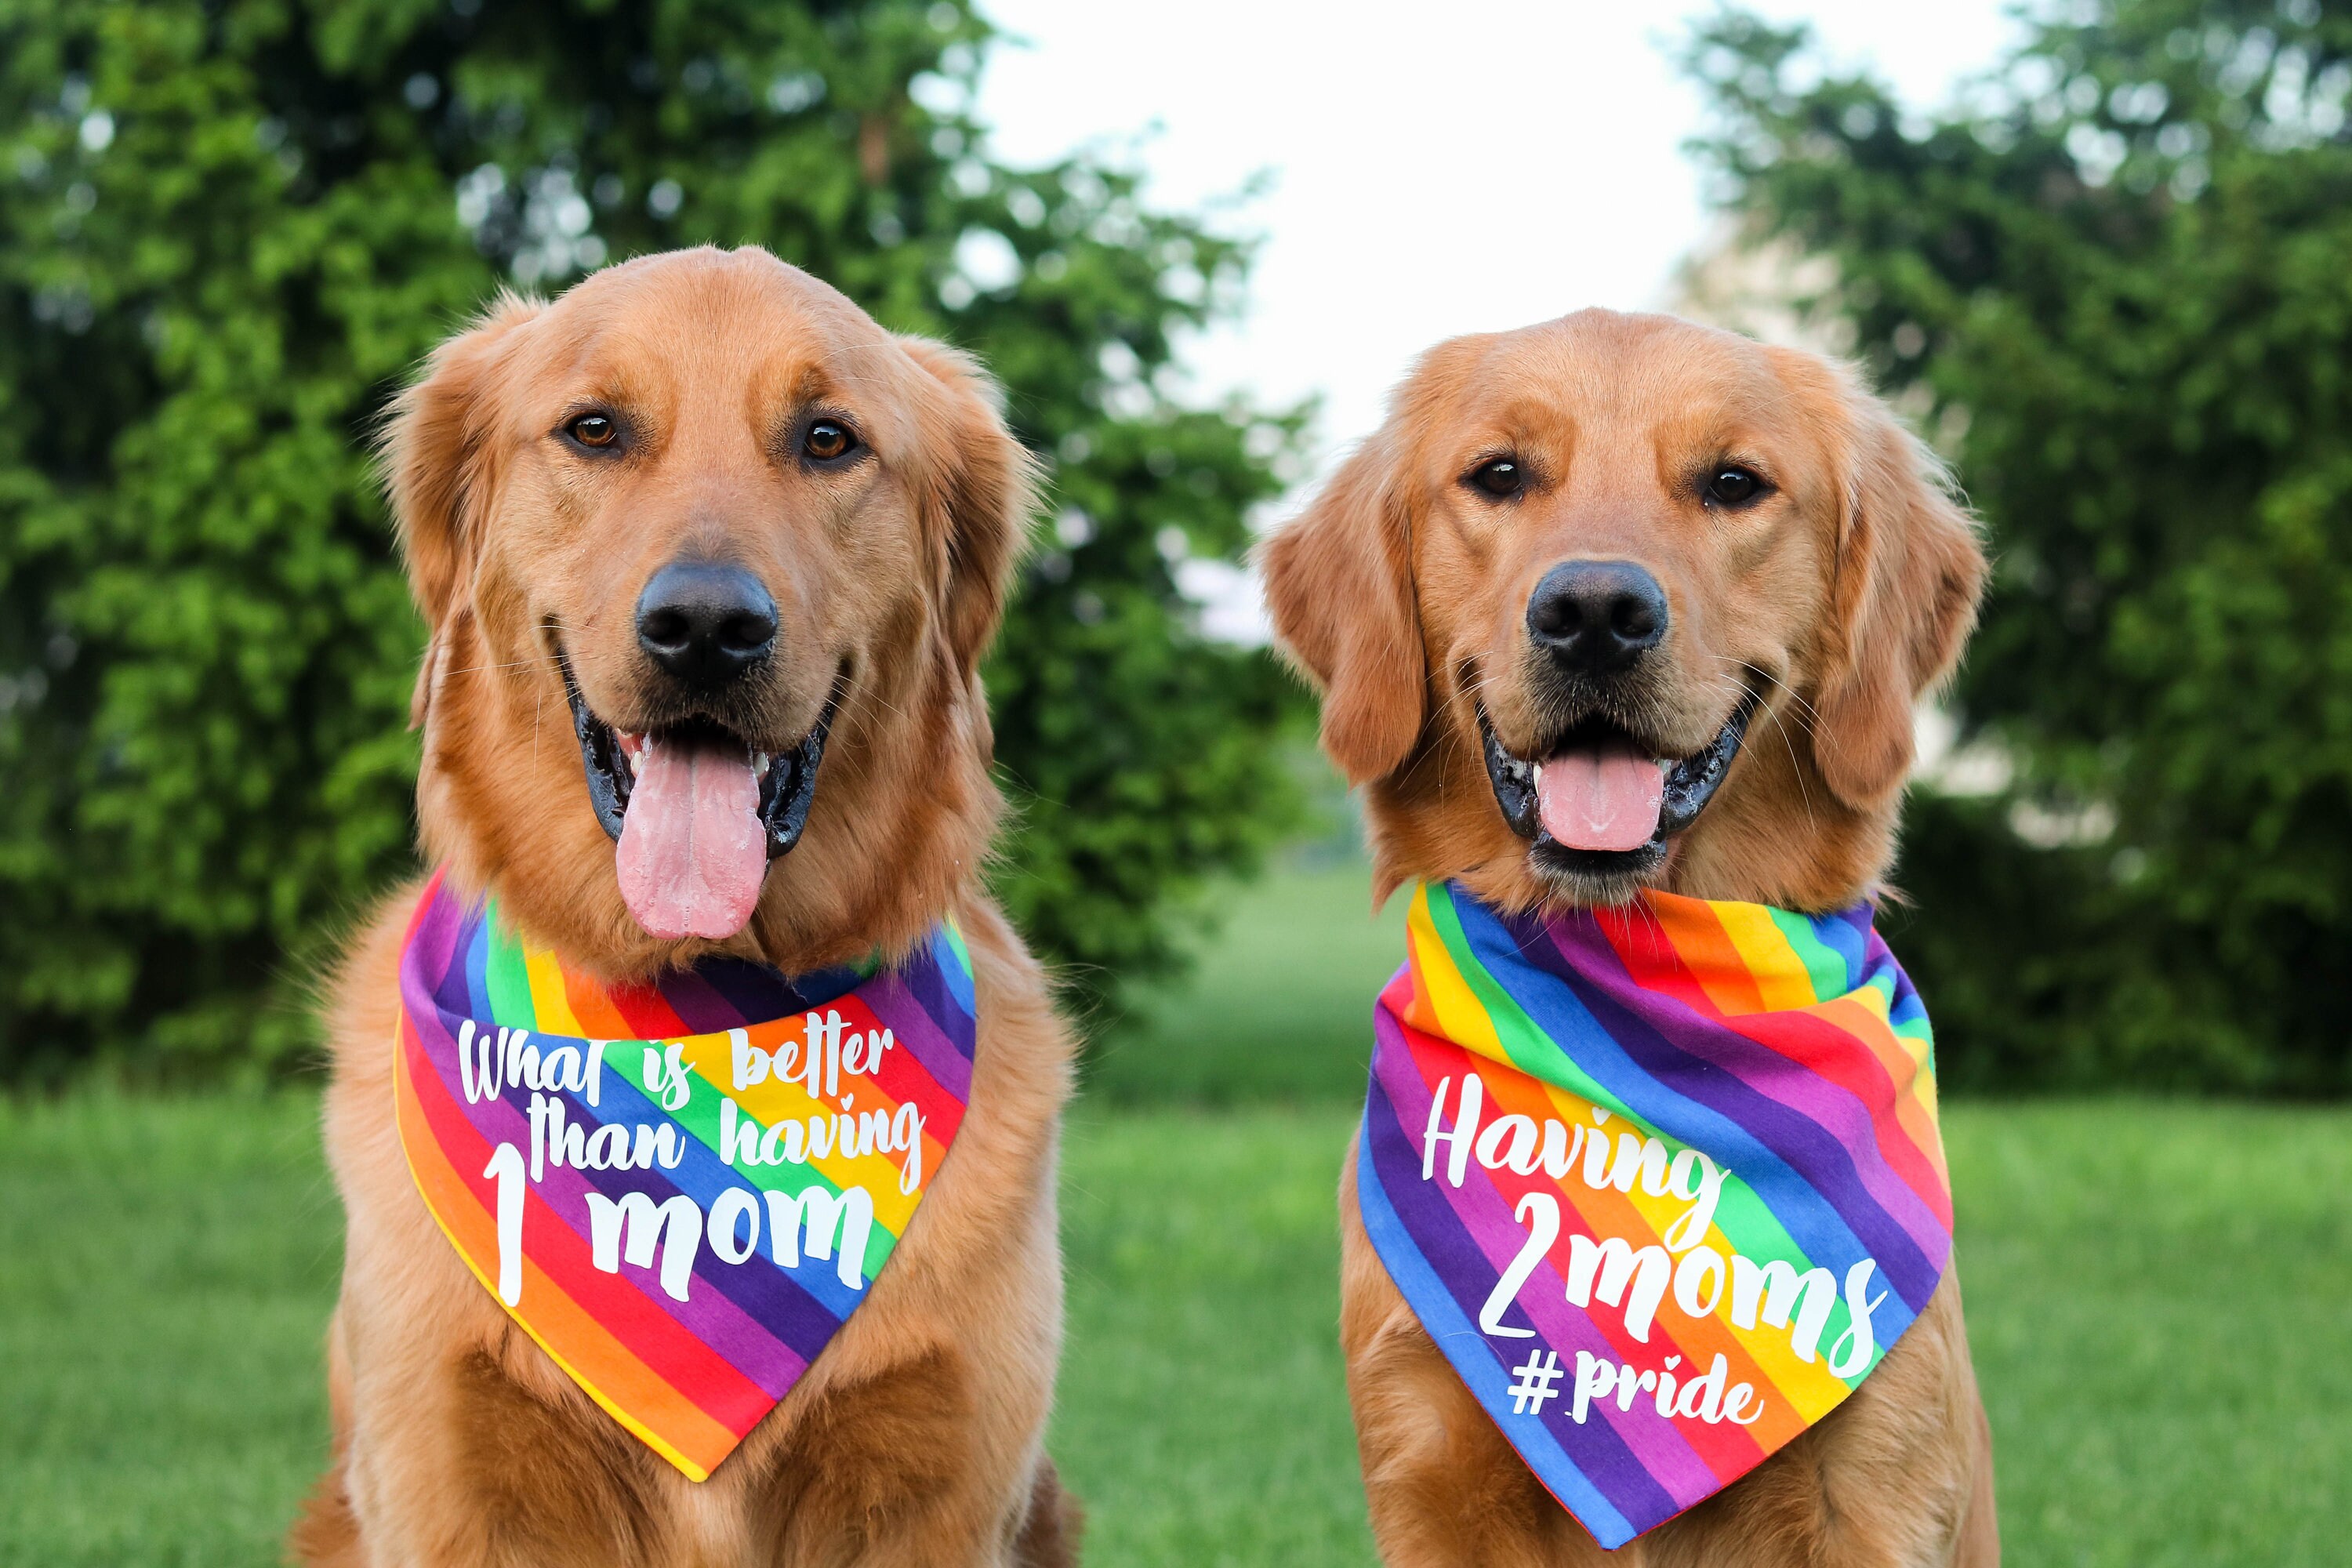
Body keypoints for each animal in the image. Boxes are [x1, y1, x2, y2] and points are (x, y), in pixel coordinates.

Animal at [289, 251, 1077, 1568]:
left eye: (828, 439)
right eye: (594, 430)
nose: (706, 627)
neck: (694, 1014)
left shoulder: (936, 1487)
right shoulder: (453, 1477)